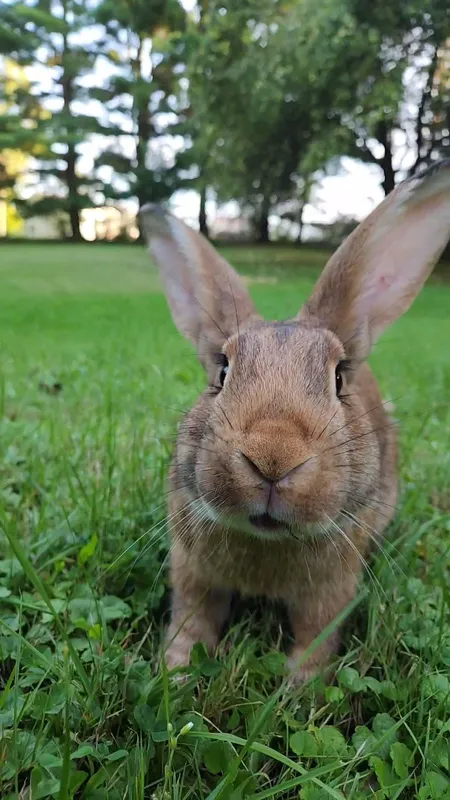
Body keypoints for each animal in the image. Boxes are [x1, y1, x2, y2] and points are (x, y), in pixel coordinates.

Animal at [140, 160, 450, 684]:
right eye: (221, 373)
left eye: (339, 378)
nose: (273, 457)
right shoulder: (192, 573)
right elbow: (192, 620)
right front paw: (177, 673)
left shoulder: (330, 593)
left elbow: (315, 638)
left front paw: (299, 689)